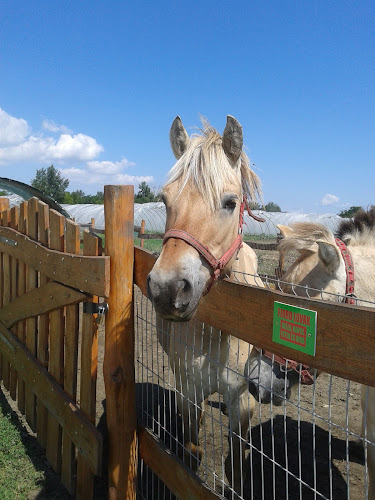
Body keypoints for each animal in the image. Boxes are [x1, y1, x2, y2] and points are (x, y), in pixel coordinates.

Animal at [148, 116, 264, 496]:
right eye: (165, 199)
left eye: (229, 202)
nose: (167, 289)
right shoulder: (188, 390)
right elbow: (191, 450)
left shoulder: (242, 403)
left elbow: (236, 467)